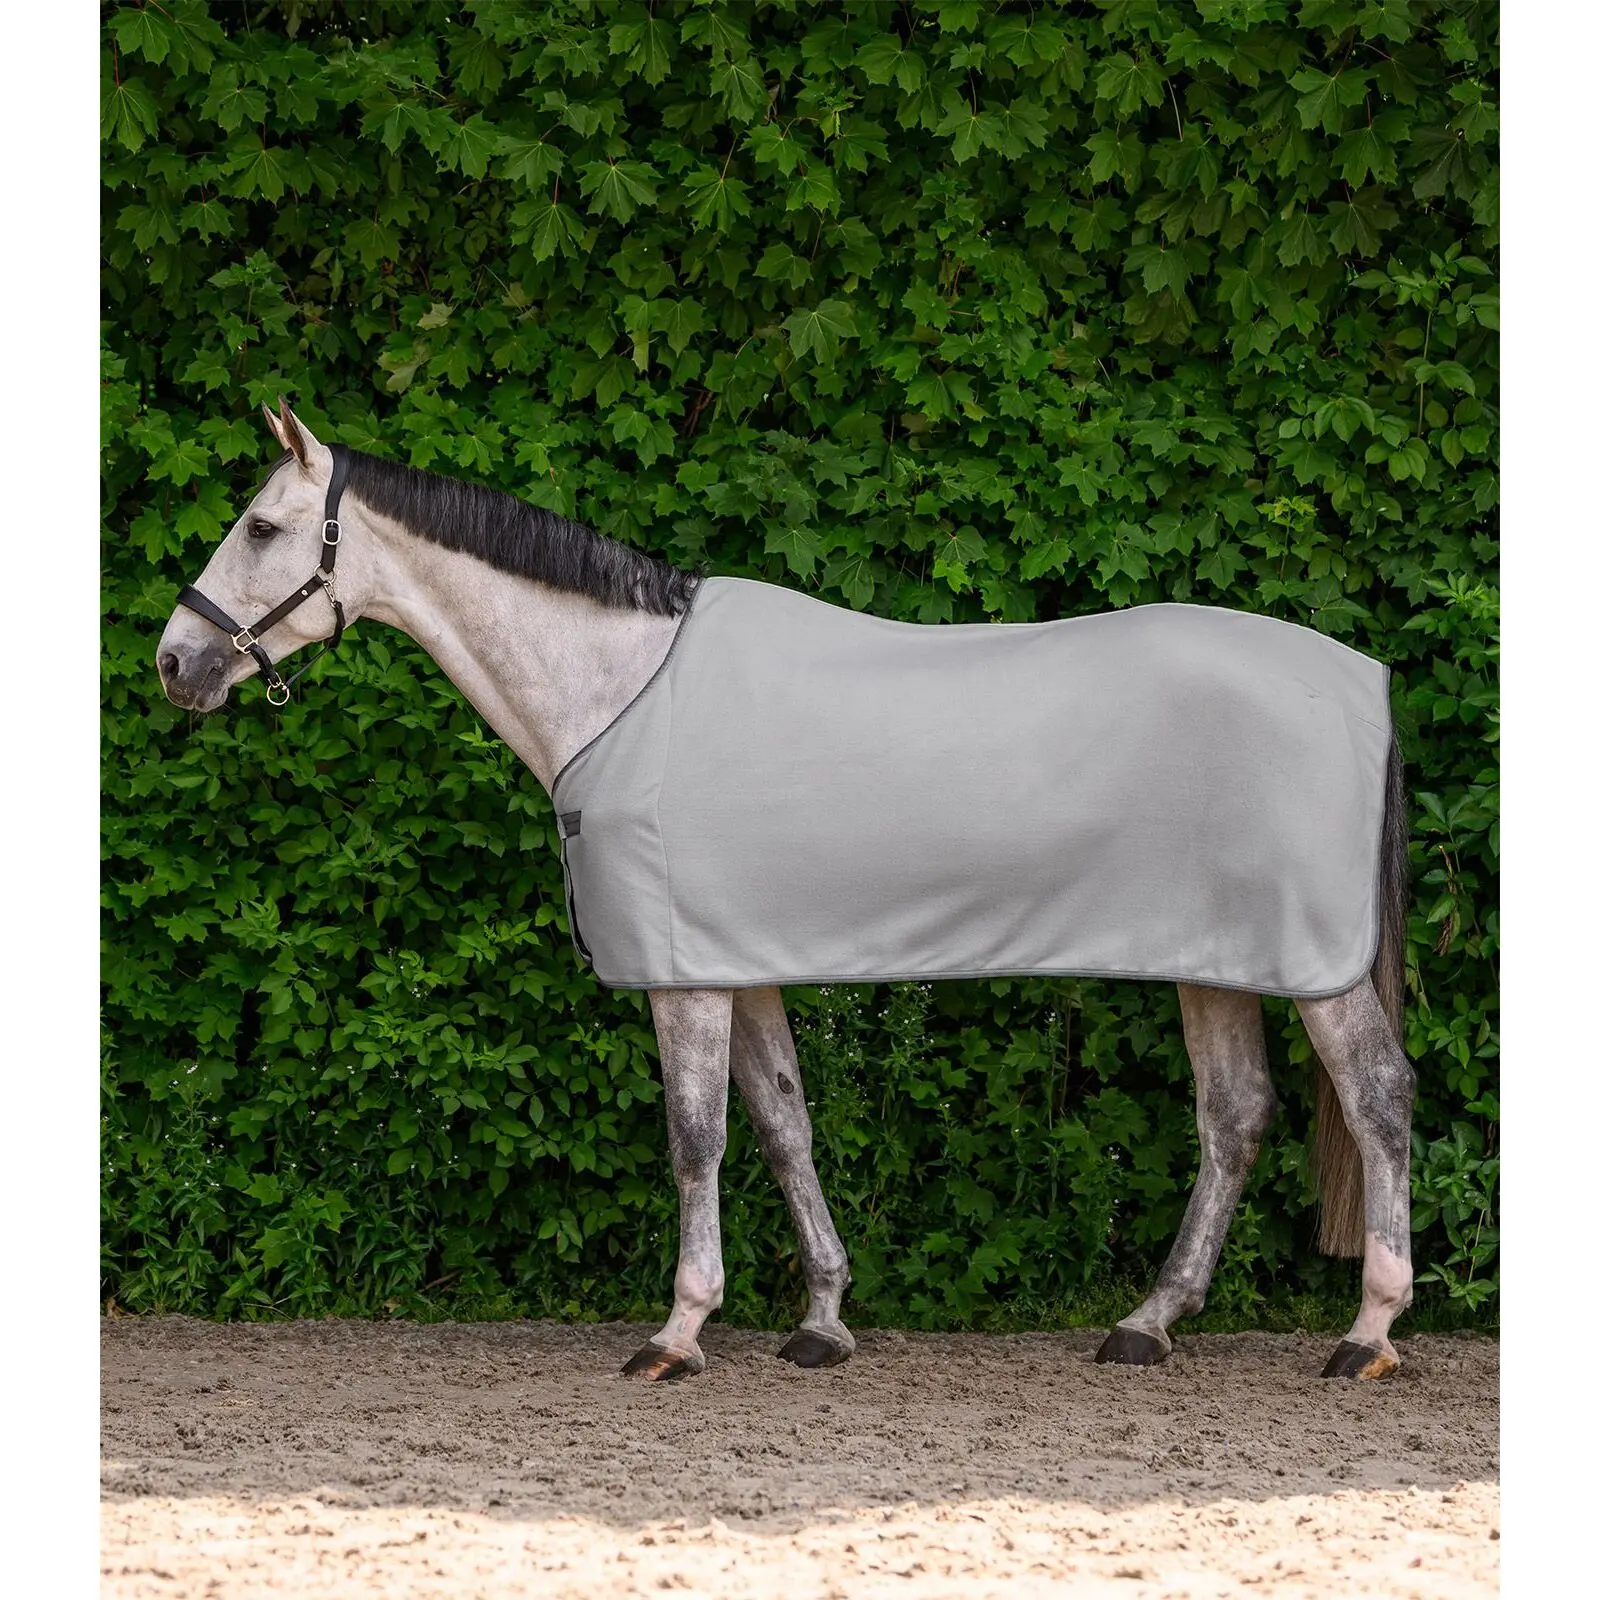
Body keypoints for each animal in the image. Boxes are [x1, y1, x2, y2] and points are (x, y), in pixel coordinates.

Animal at [156, 401, 1416, 1384]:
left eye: (261, 526)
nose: (176, 662)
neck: (619, 690)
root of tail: (1364, 680)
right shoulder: (736, 961)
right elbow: (782, 1124)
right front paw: (821, 1318)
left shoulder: (684, 977)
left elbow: (695, 1138)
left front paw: (678, 1331)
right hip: (1219, 960)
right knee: (1235, 1117)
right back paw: (1148, 1323)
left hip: (1319, 967)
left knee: (1377, 1095)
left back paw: (1367, 1333)